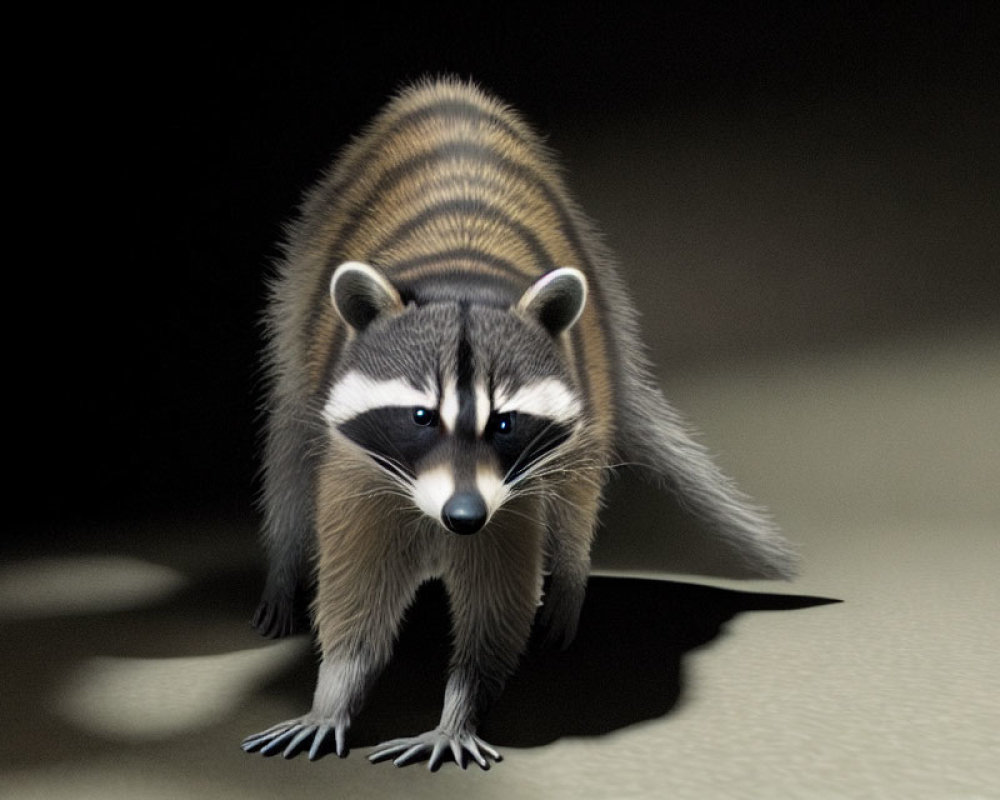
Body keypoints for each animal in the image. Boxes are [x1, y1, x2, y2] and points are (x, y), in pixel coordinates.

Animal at [242, 79, 796, 768]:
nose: (463, 518)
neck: (460, 279)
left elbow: (497, 599)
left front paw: (460, 706)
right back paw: (283, 572)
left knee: (581, 489)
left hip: (598, 334)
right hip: (297, 304)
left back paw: (569, 586)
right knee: (288, 447)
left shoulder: (512, 486)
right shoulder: (358, 466)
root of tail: (444, 91)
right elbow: (356, 588)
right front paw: (334, 690)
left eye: (504, 424)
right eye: (421, 416)